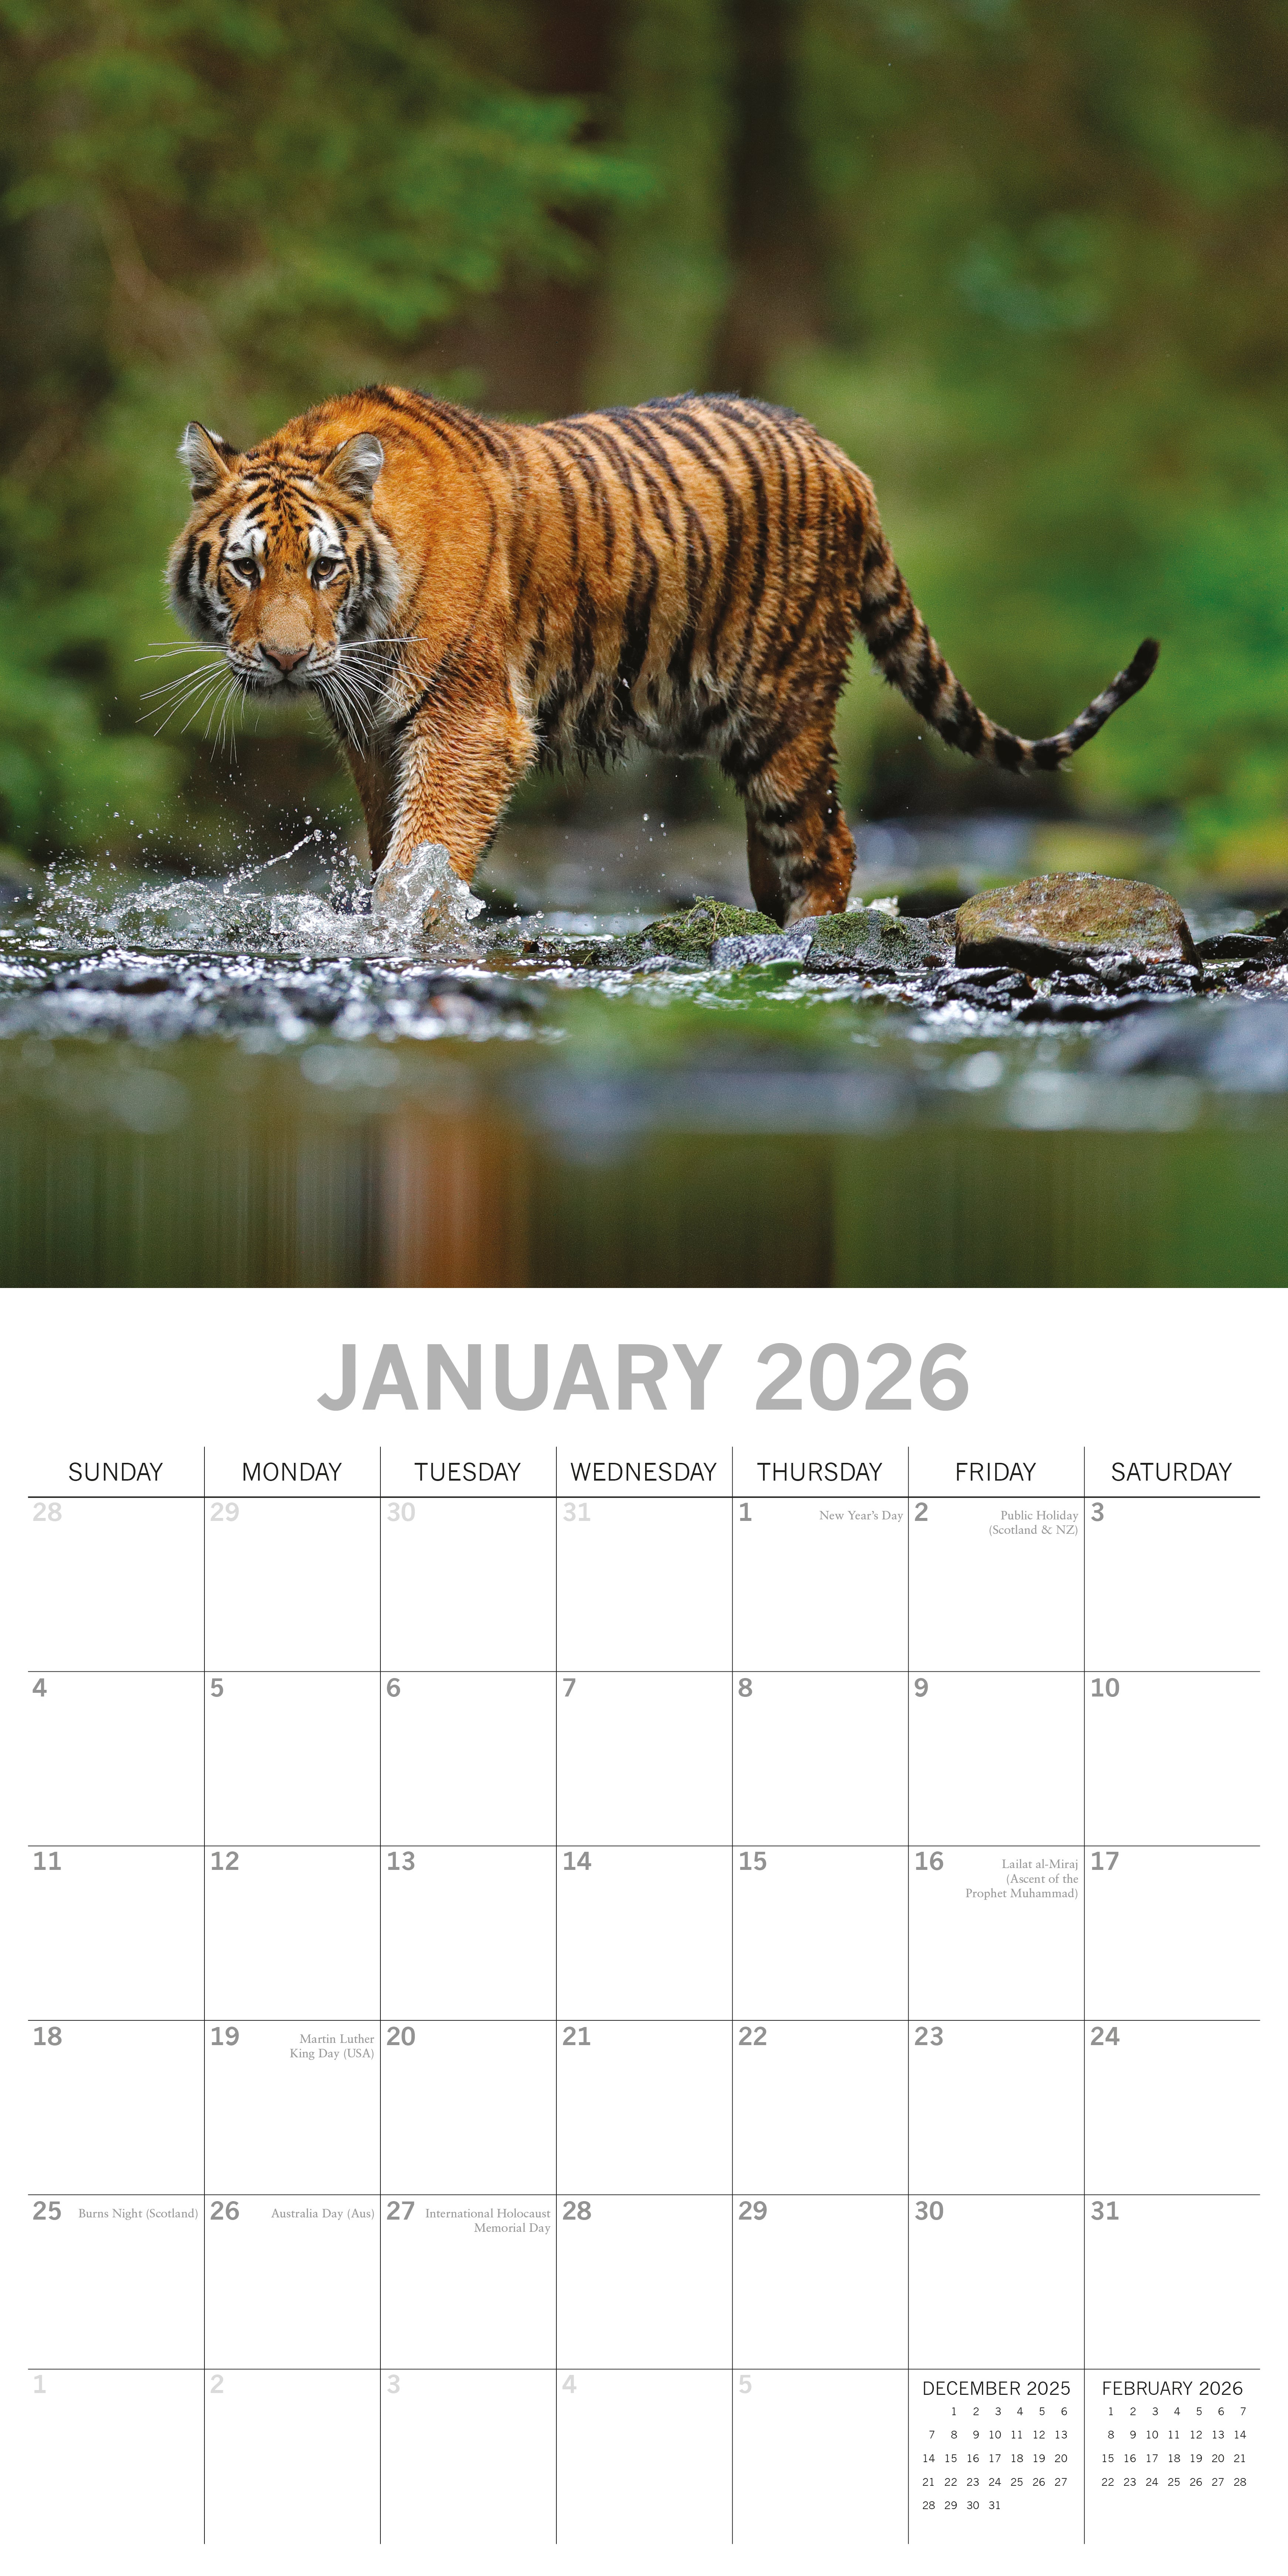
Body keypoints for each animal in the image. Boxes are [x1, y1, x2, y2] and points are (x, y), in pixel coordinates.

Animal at [168, 387, 1158, 929]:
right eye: (247, 568)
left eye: (323, 568)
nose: (287, 660)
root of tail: (842, 459)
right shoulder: (372, 735)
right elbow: (392, 847)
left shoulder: (468, 721)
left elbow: (424, 853)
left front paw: (405, 928)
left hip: (782, 710)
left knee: (827, 845)